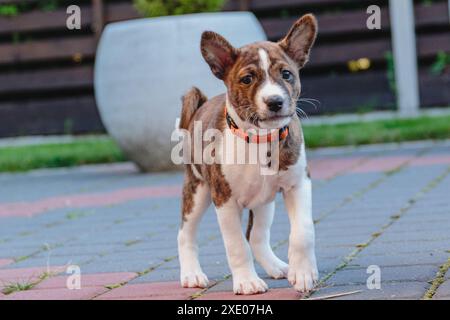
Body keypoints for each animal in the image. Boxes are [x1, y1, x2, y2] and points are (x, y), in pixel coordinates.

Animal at [178, 15, 318, 296]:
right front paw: (247, 282)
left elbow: (303, 232)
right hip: (197, 191)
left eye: (286, 74)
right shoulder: (225, 200)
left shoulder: (298, 184)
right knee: (185, 234)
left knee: (256, 235)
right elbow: (236, 246)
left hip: (264, 201)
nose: (274, 101)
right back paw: (191, 274)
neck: (259, 139)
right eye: (247, 79)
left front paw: (303, 273)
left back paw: (277, 266)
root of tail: (200, 106)